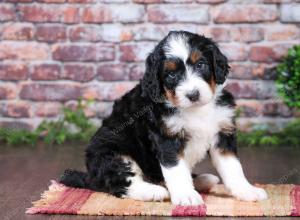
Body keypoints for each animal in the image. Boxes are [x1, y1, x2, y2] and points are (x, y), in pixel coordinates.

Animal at [60, 31, 268, 206]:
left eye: (201, 64)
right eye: (171, 74)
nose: (193, 94)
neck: (195, 110)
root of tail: (90, 175)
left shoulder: (222, 132)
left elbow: (233, 167)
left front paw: (247, 191)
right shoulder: (167, 138)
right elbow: (177, 171)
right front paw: (186, 196)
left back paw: (202, 180)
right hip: (112, 151)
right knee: (120, 183)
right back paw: (153, 192)